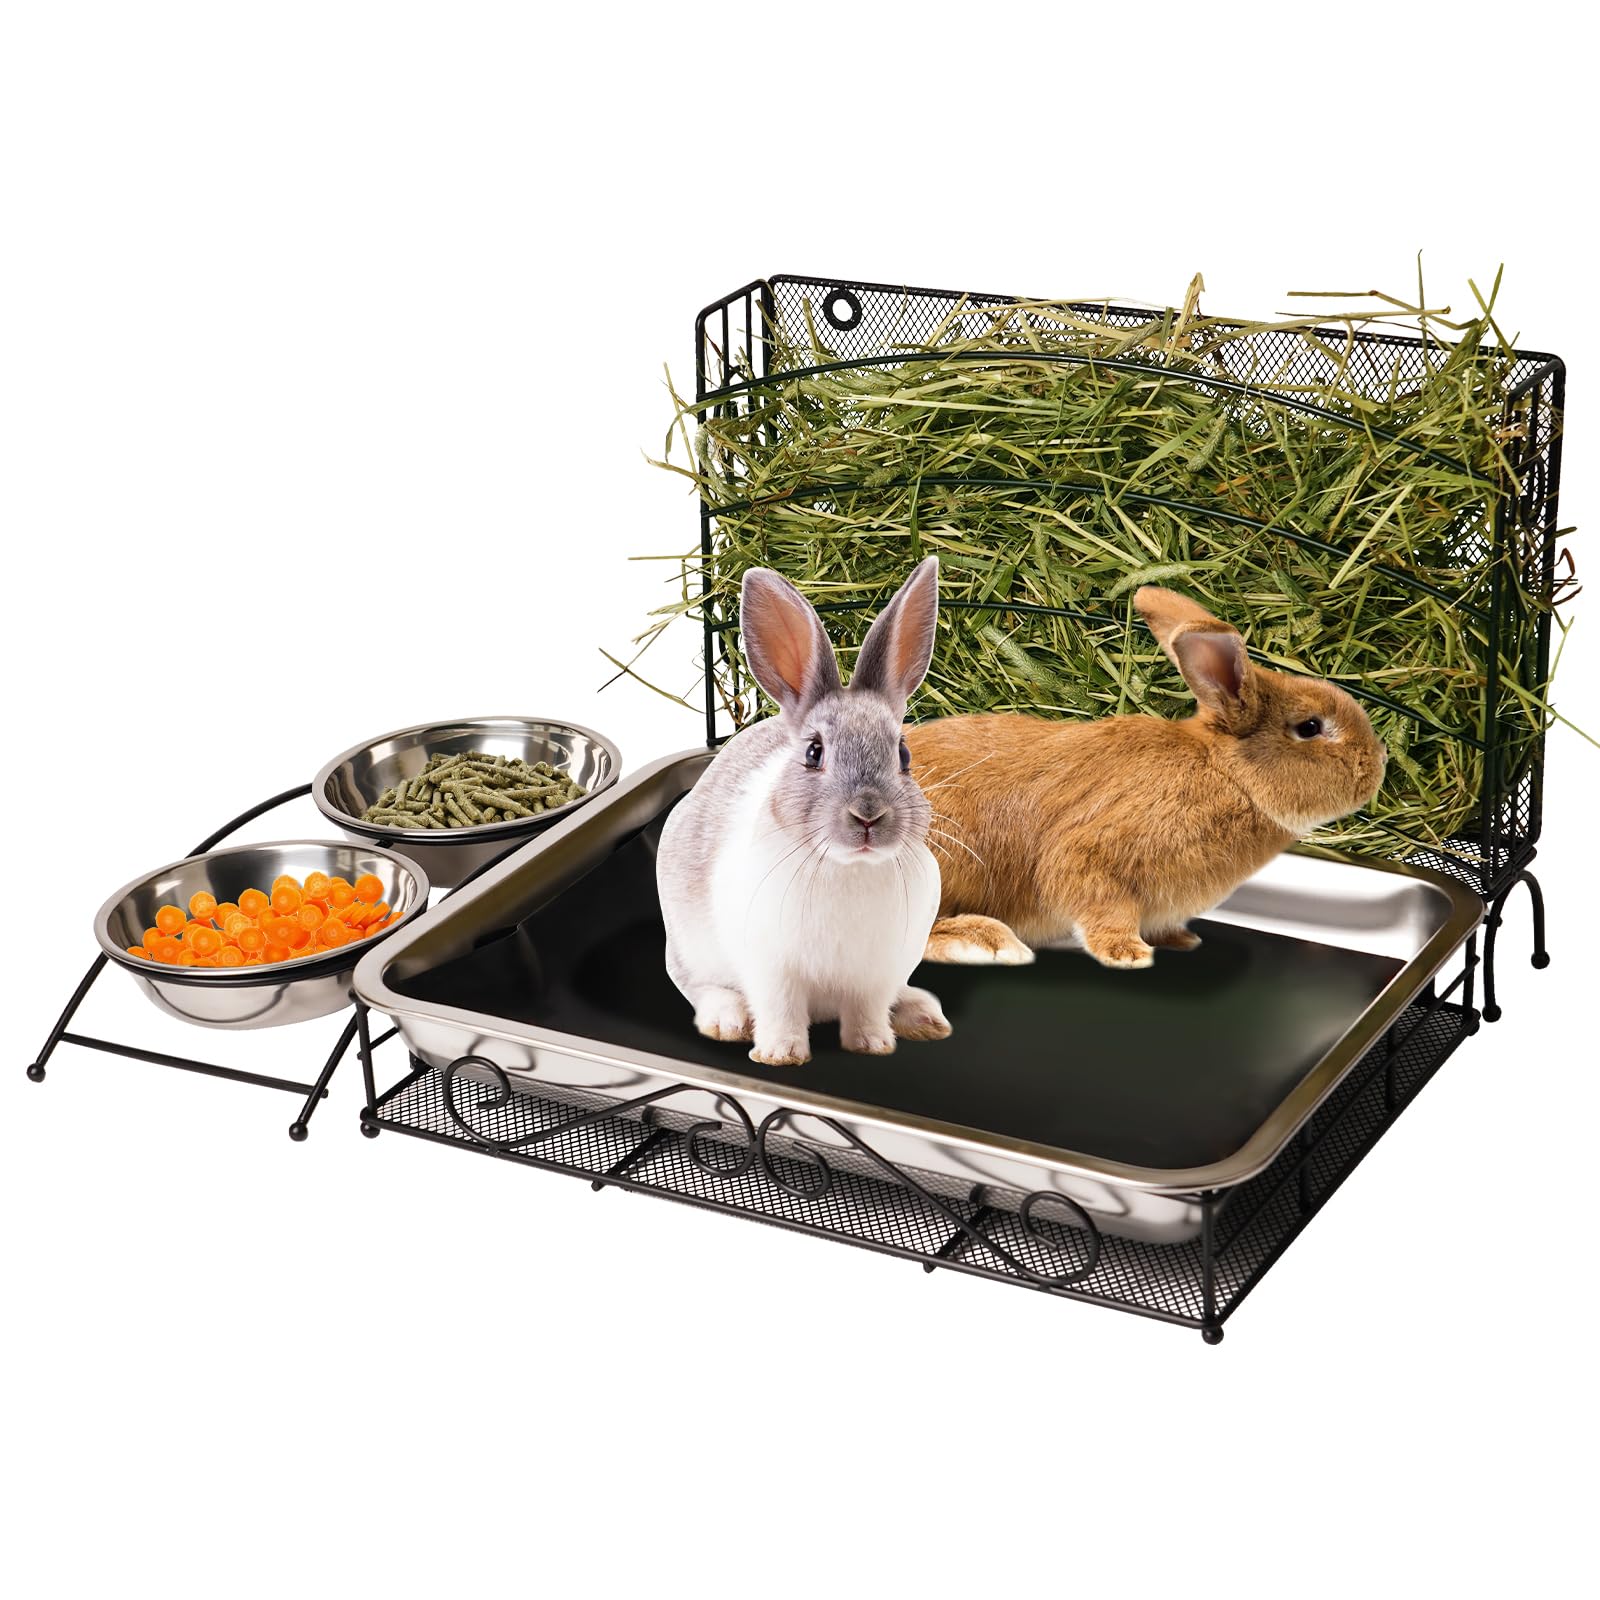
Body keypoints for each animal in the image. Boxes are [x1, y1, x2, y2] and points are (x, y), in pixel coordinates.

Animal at [658, 556, 950, 1066]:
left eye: (903, 754)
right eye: (814, 753)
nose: (868, 815)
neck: (848, 868)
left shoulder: (875, 975)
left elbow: (867, 1011)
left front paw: (873, 1046)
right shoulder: (772, 970)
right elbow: (781, 1010)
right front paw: (780, 1055)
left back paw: (922, 1017)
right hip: (689, 949)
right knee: (700, 987)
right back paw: (726, 1021)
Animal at [906, 584, 1388, 971]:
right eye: (1309, 727)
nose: (1378, 762)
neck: (1228, 776)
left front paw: (1180, 940)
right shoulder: (1093, 855)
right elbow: (1100, 903)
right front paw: (1129, 955)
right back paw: (988, 943)